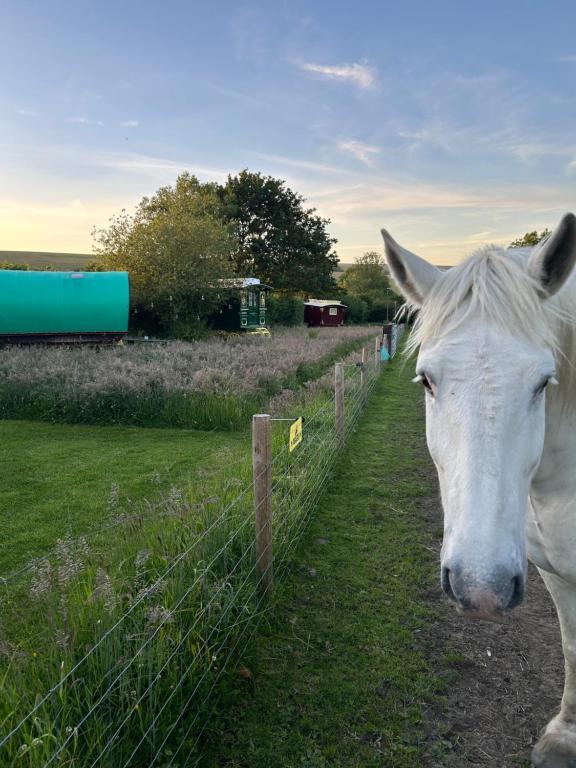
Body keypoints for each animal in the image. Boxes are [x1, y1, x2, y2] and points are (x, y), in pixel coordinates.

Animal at [381, 213, 576, 768]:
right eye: (426, 380)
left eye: (543, 383)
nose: (481, 588)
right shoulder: (556, 573)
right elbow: (572, 646)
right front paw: (565, 737)